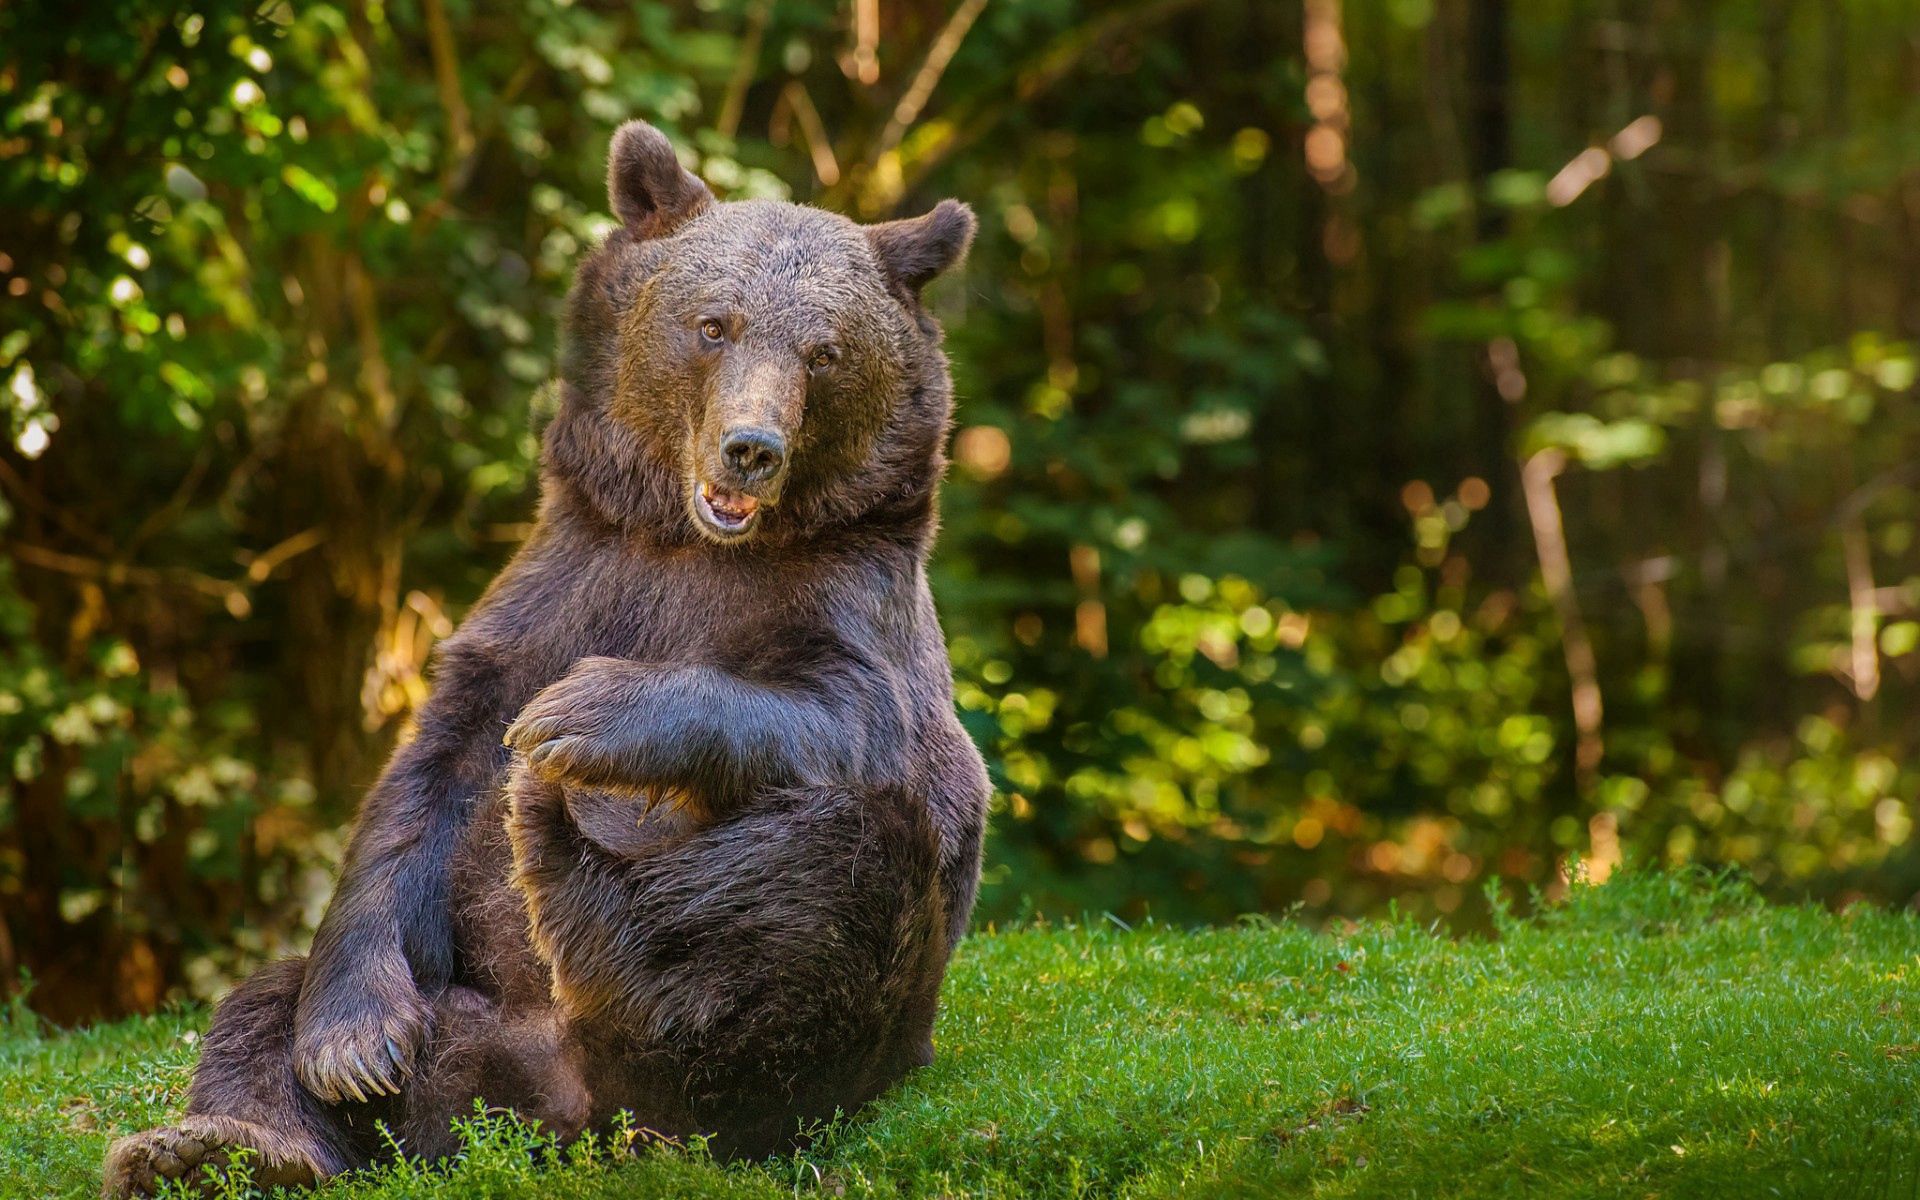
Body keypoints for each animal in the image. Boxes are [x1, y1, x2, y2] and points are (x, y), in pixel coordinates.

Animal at [103, 117, 990, 1190]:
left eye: (824, 351)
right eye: (714, 324)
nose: (751, 448)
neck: (694, 541)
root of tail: (566, 1112)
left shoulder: (849, 604)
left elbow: (844, 714)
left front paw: (579, 719)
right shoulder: (568, 583)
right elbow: (428, 779)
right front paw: (352, 1043)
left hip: (857, 1004)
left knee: (826, 874)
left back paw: (570, 863)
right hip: (463, 1042)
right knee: (261, 1011)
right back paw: (217, 1148)